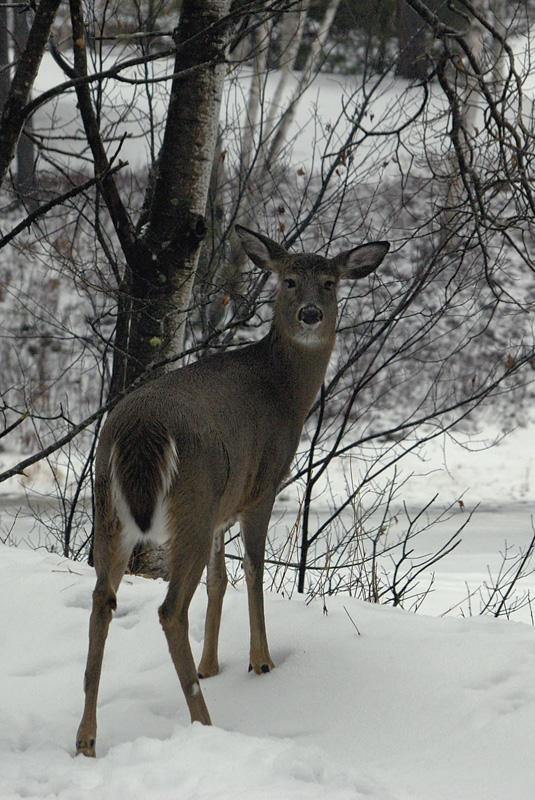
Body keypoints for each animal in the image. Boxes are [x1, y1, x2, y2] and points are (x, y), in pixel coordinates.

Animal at [74, 223, 390, 756]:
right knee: (169, 609)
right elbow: (255, 573)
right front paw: (260, 661)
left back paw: (86, 739)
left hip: (111, 508)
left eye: (329, 282)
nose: (311, 314)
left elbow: (220, 579)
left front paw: (211, 664)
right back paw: (204, 723)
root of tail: (139, 428)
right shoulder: (261, 486)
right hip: (192, 500)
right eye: (288, 280)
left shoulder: (224, 503)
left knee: (102, 600)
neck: (285, 393)